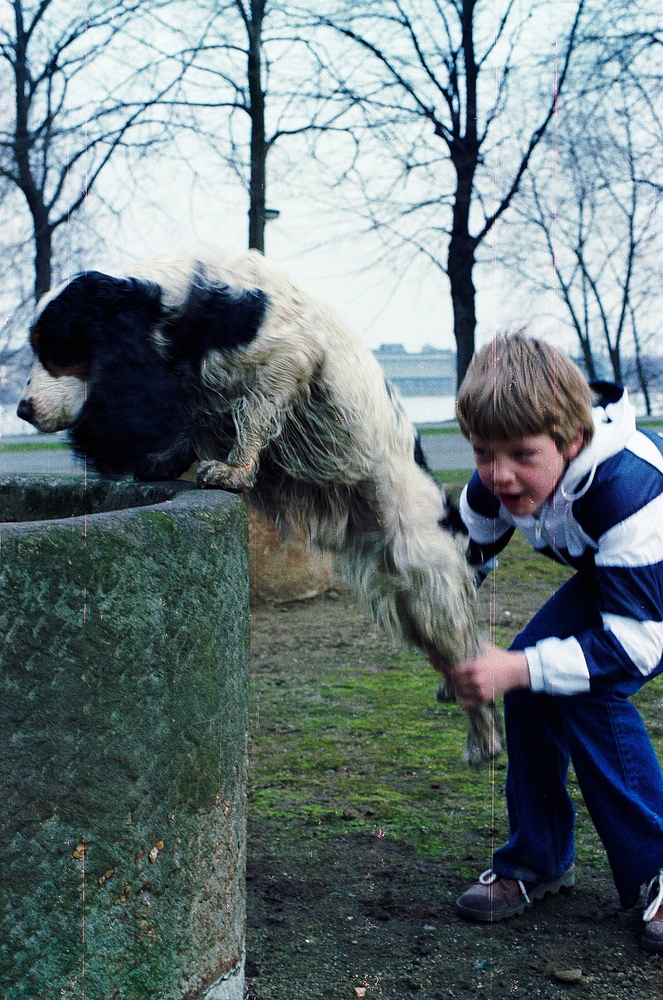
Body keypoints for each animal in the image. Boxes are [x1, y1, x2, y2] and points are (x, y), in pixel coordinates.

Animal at [18, 250, 500, 764]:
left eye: (56, 349)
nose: (22, 410)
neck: (184, 307)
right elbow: (193, 430)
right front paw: (166, 463)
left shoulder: (288, 357)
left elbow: (253, 415)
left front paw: (232, 471)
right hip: (404, 597)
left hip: (426, 579)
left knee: (467, 654)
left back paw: (484, 743)